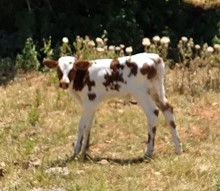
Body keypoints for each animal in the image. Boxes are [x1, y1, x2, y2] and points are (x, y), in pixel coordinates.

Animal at [43, 52, 182, 158]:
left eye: (73, 69)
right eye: (59, 70)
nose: (64, 83)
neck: (83, 76)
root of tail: (153, 57)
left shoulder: (89, 102)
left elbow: (82, 125)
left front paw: (76, 151)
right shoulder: (92, 104)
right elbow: (89, 126)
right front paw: (84, 151)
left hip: (141, 93)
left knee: (153, 113)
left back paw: (149, 151)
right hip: (157, 90)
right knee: (168, 109)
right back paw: (178, 148)